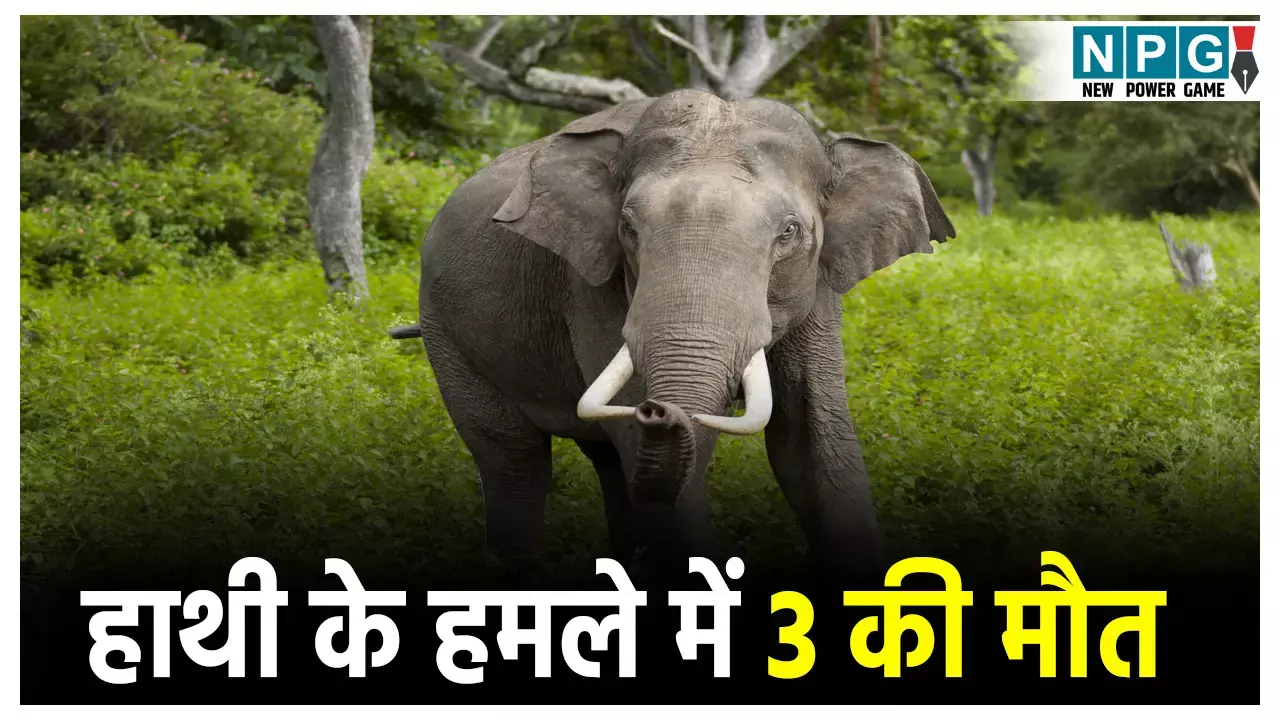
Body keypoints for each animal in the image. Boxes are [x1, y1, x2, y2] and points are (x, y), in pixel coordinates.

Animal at [392, 89, 955, 583]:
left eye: (789, 233)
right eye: (627, 227)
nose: (658, 410)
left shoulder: (819, 287)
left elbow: (812, 439)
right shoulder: (590, 285)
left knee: (608, 464)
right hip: (446, 333)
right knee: (513, 458)